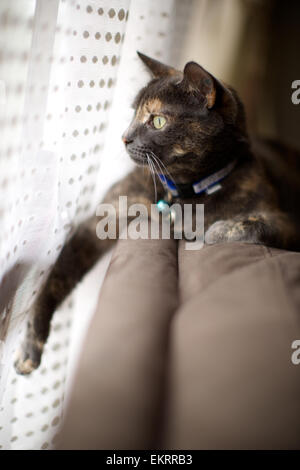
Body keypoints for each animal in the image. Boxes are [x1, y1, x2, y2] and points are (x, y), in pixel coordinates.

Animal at [13, 51, 300, 374]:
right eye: (133, 113)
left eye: (158, 120)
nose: (124, 137)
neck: (183, 193)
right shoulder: (104, 218)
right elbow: (57, 276)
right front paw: (31, 342)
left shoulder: (286, 220)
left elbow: (251, 224)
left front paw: (216, 230)